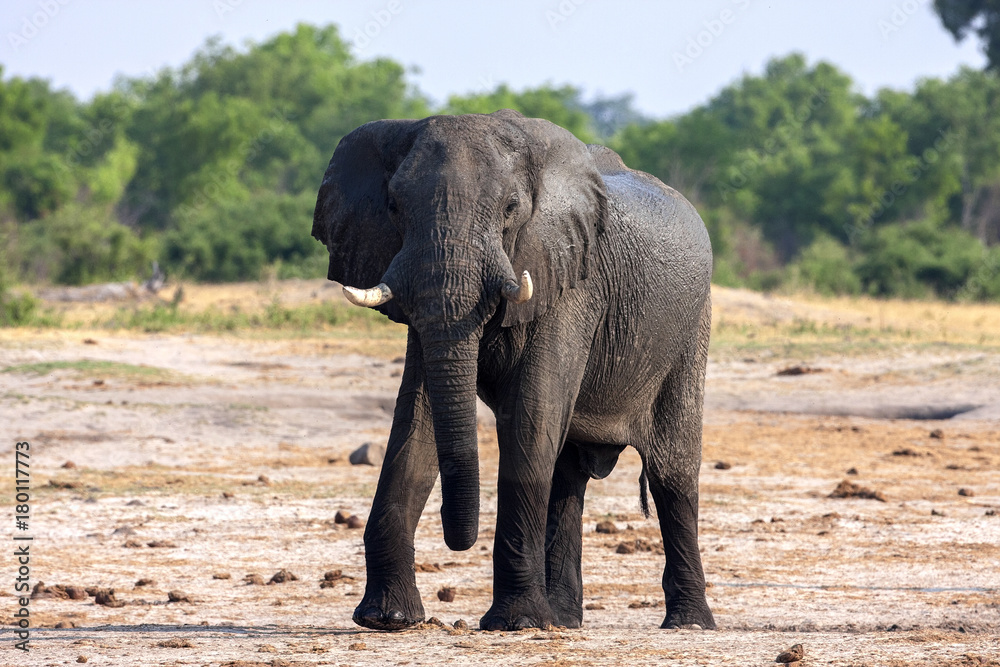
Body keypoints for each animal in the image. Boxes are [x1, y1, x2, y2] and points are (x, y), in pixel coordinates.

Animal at [311, 109, 715, 632]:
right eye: (394, 207)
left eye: (510, 207)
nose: (458, 539)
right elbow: (417, 423)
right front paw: (387, 618)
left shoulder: (572, 282)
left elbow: (532, 416)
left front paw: (516, 624)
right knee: (567, 475)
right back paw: (562, 620)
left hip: (691, 330)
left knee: (672, 471)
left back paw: (688, 623)